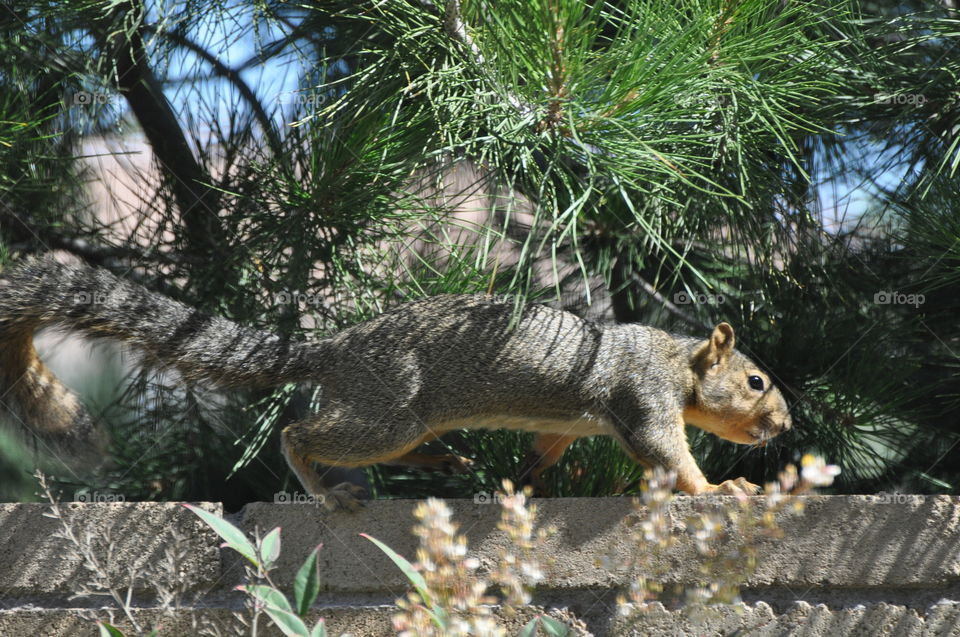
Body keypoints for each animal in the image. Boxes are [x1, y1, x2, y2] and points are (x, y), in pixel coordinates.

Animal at [0, 255, 792, 512]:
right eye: (756, 381)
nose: (785, 426)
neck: (674, 360)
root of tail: (333, 350)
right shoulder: (644, 398)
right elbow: (668, 453)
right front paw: (719, 488)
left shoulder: (573, 421)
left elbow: (547, 448)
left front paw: (523, 482)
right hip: (384, 412)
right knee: (299, 432)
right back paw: (327, 491)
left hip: (402, 418)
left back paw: (447, 460)